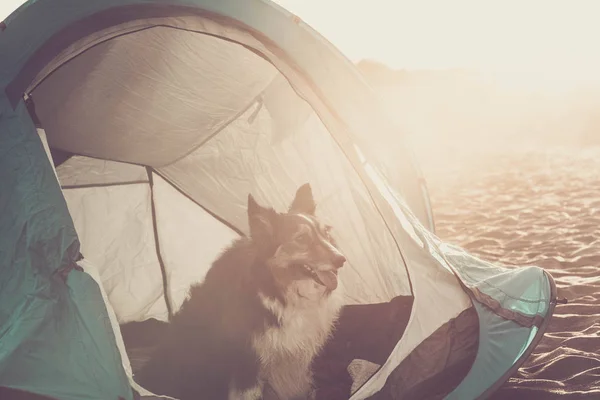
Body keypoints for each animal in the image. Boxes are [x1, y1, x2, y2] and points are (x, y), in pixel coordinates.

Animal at [135, 184, 342, 400]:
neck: (279, 290)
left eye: (326, 234)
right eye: (301, 238)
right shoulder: (248, 357)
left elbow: (293, 386)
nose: (341, 259)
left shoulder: (293, 356)